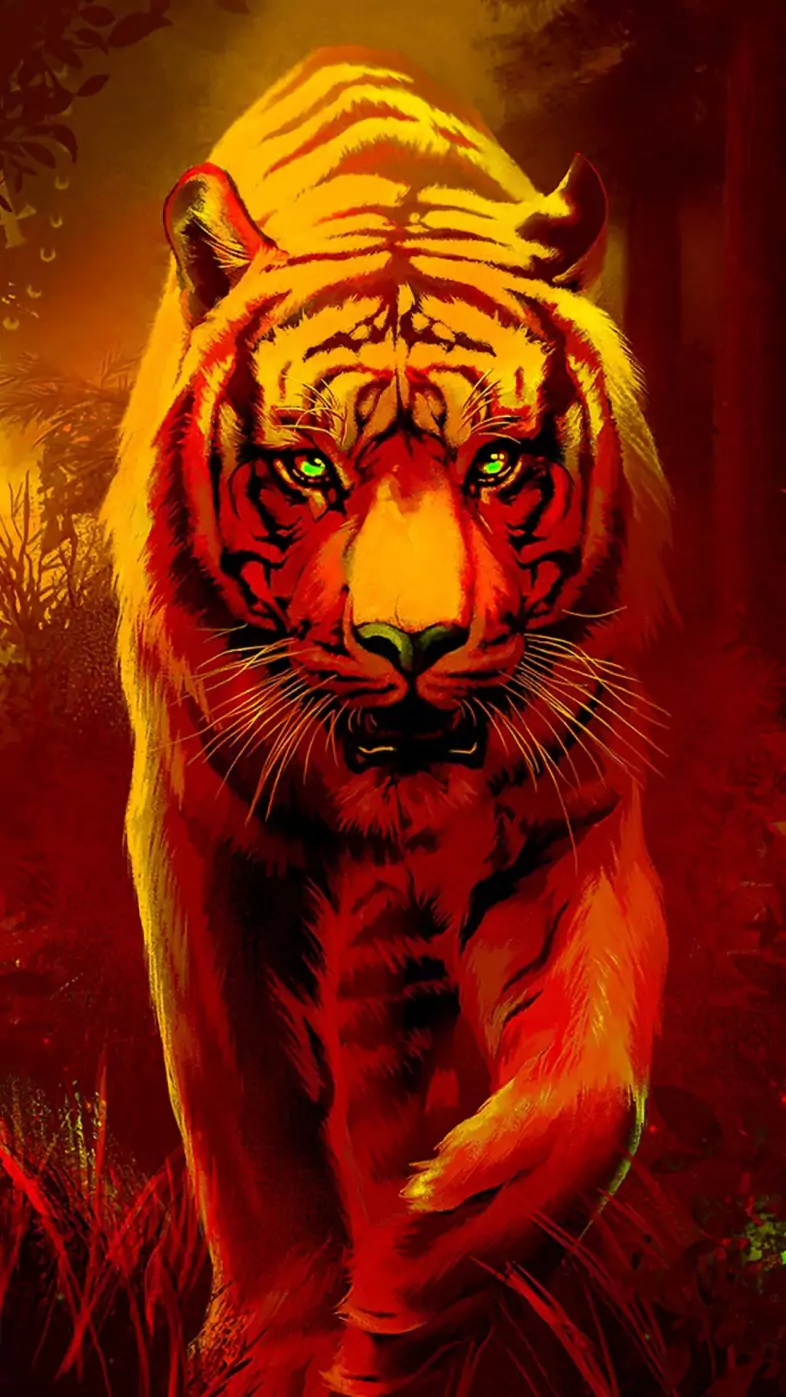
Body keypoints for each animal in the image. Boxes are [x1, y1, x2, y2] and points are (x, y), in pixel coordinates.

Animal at [102, 44, 672, 1397]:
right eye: (309, 469)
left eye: (498, 464)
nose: (411, 644)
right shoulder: (203, 839)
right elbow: (249, 1123)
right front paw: (275, 1346)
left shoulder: (578, 817)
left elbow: (590, 1089)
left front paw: (413, 1266)